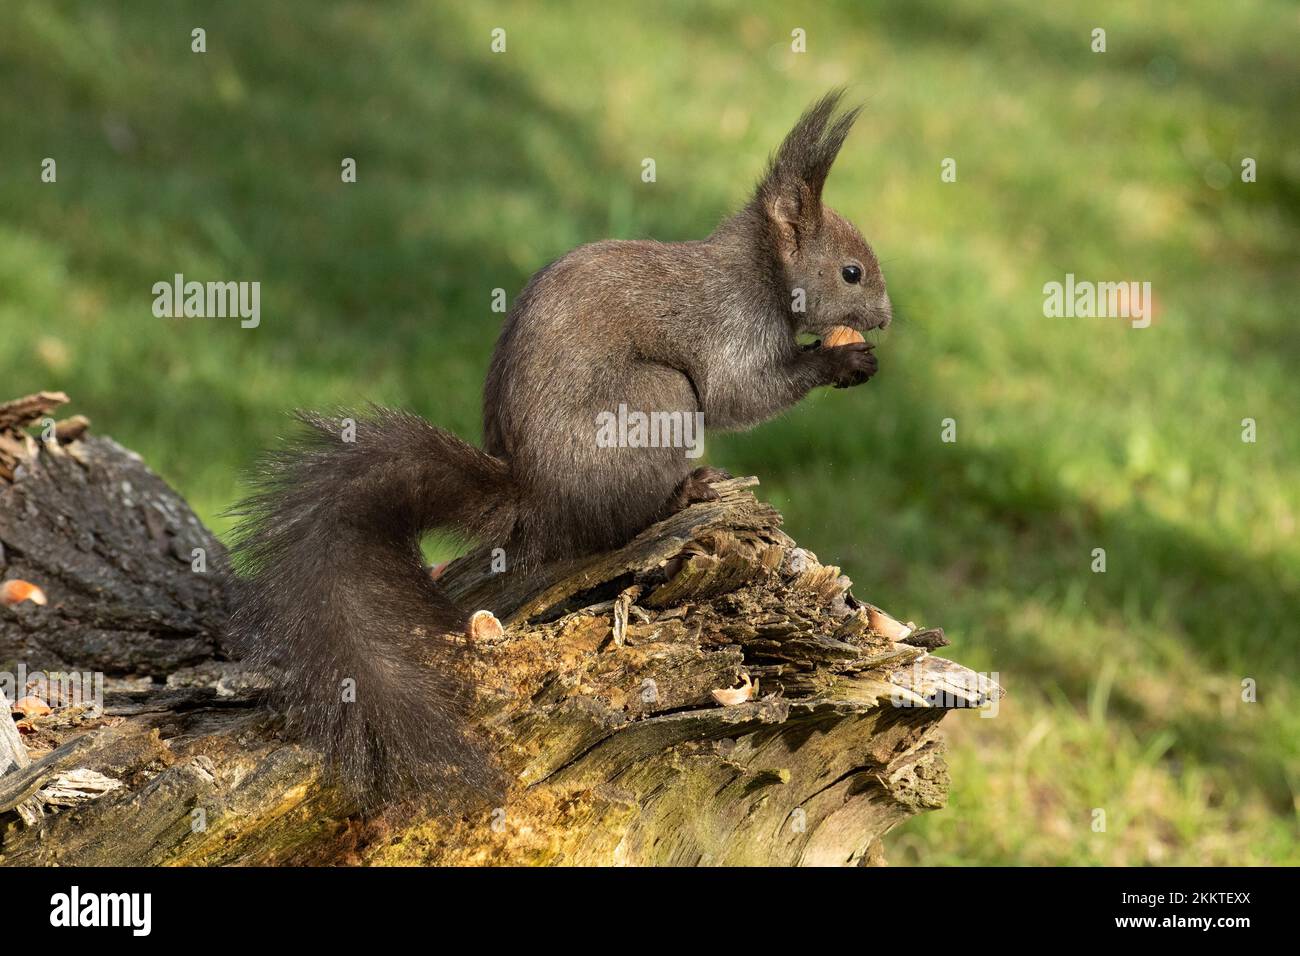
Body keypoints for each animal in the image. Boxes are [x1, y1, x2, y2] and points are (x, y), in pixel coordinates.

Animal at [227, 91, 892, 806]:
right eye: (851, 272)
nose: (885, 319)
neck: (761, 273)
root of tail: (538, 498)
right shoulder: (730, 329)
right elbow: (741, 395)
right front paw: (843, 360)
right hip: (656, 399)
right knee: (617, 521)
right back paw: (686, 492)